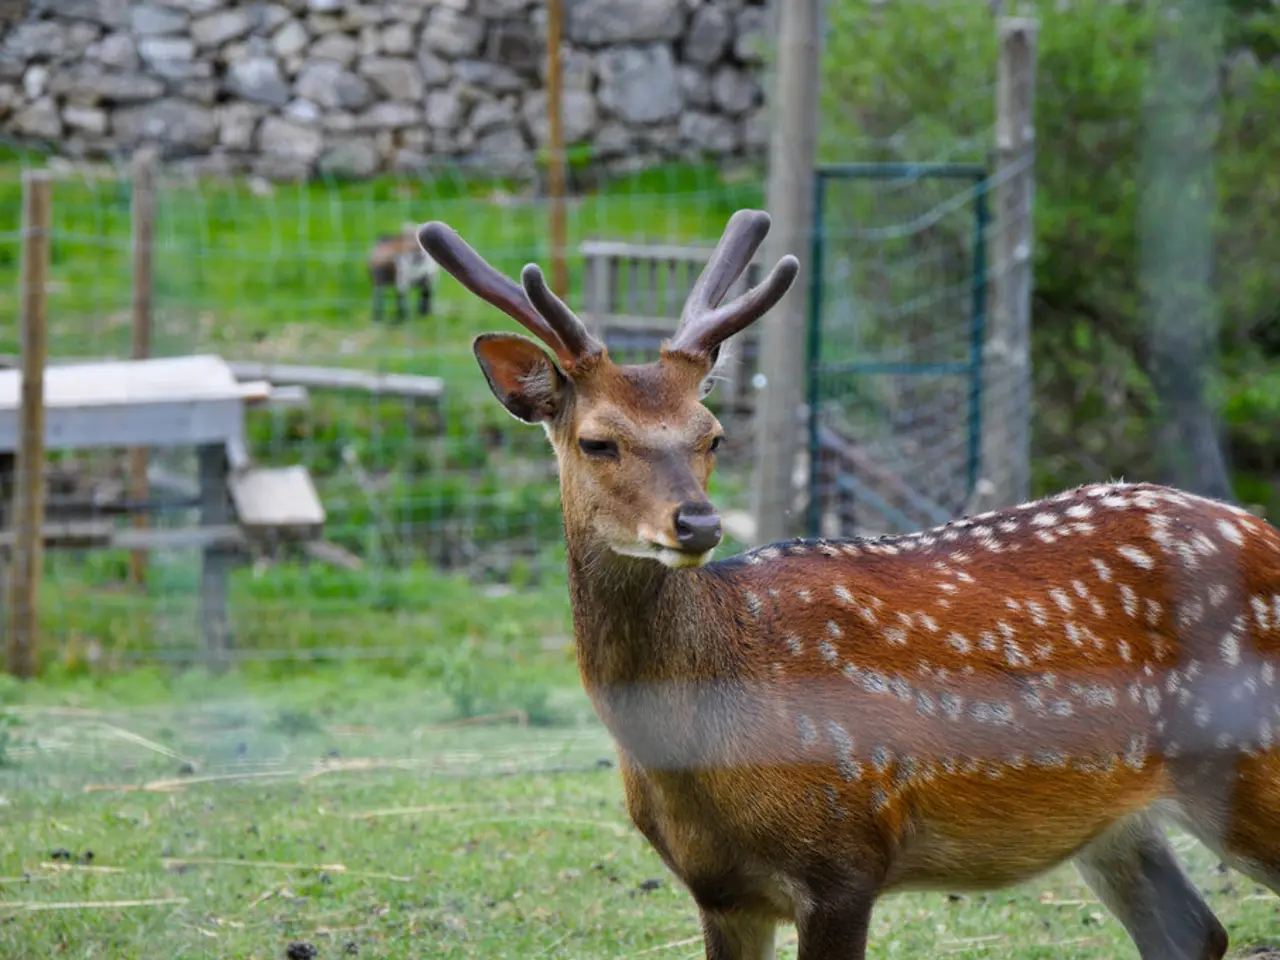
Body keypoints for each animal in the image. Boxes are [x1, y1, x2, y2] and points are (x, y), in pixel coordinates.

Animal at [416, 208, 1280, 960]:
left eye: (712, 436)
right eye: (598, 441)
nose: (697, 524)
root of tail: (1264, 531)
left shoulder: (843, 856)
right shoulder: (719, 891)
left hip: (1251, 760)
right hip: (1116, 826)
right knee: (1193, 931)